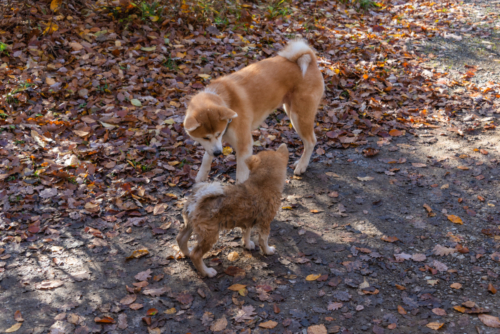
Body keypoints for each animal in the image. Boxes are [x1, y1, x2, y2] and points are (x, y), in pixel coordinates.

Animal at [177, 144, 290, 276]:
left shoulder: (248, 220)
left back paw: (187, 253)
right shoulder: (265, 223)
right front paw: (268, 251)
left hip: (190, 225)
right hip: (209, 235)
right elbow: (263, 240)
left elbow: (246, 234)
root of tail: (198, 198)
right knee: (196, 255)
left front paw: (248, 245)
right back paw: (207, 272)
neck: (262, 182)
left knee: (181, 239)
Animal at [184, 41, 324, 185]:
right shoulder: (218, 140)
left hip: (298, 117)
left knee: (311, 141)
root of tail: (311, 59)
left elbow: (240, 175)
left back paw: (302, 166)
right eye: (205, 137)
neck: (226, 100)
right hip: (290, 111)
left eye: (217, 134)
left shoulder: (244, 145)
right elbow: (206, 156)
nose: (218, 153)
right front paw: (201, 175)